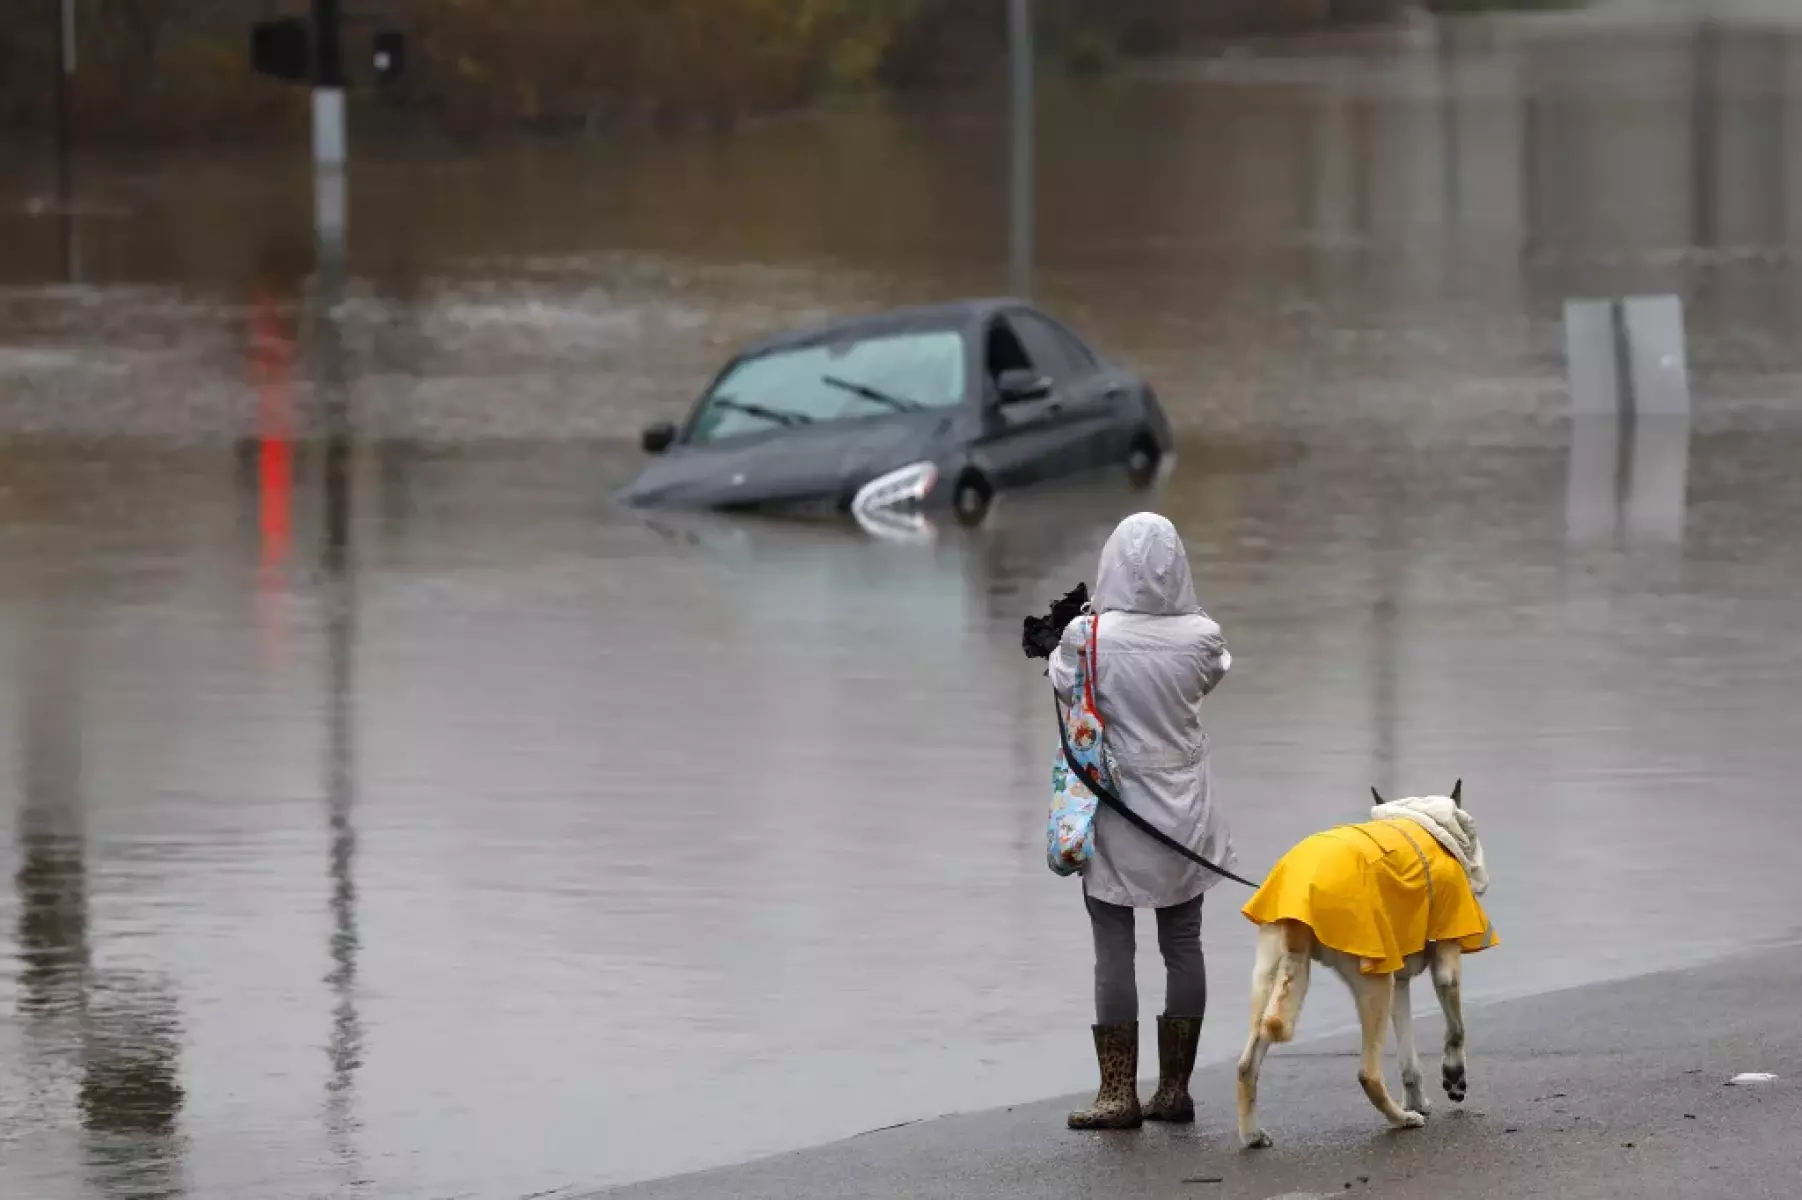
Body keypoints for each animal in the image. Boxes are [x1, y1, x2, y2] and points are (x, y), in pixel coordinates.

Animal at [1232, 781, 1499, 1145]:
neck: (1424, 817)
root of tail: (1304, 892)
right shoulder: (1445, 964)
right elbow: (1456, 1028)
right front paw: (1454, 1076)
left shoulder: (1399, 982)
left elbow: (1409, 1056)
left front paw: (1417, 1098)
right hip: (1373, 986)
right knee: (1368, 1073)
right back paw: (1401, 1120)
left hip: (1270, 977)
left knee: (1247, 1064)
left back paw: (1252, 1135)